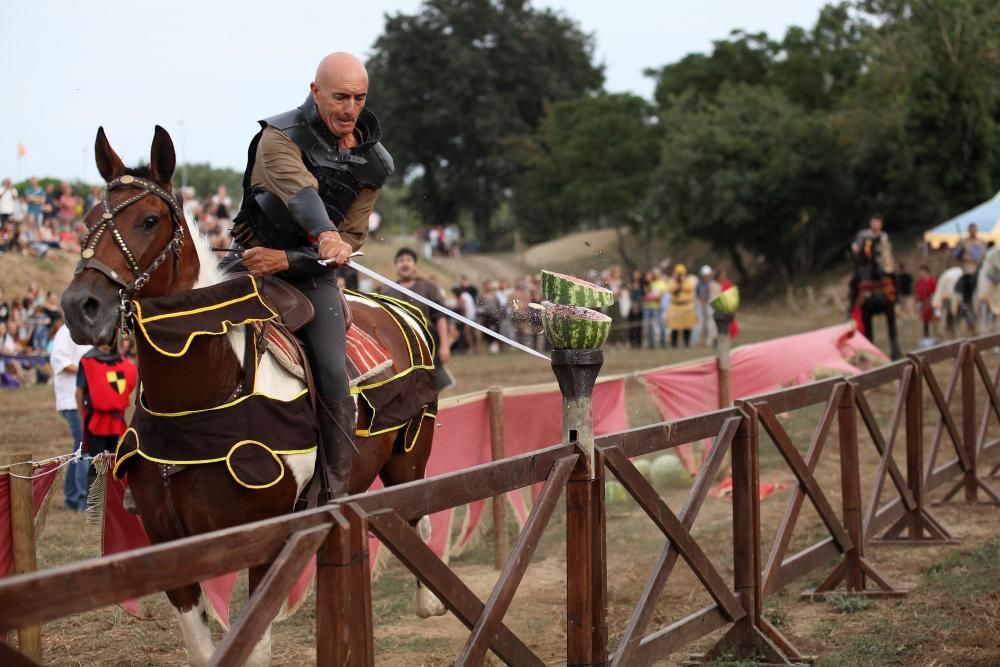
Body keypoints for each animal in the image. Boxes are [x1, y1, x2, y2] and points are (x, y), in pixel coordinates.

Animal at [58, 126, 442, 667]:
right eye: (88, 220)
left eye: (149, 220)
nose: (81, 307)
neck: (200, 393)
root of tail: (401, 308)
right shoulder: (168, 542)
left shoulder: (269, 540)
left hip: (409, 457)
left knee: (417, 518)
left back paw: (430, 600)